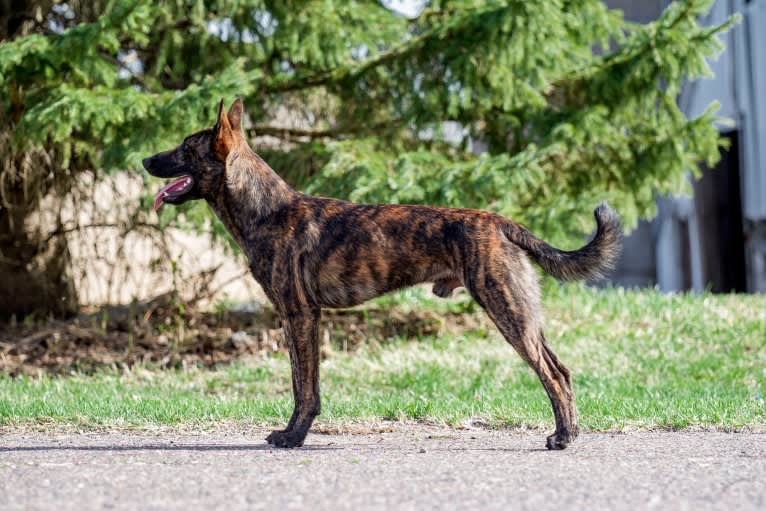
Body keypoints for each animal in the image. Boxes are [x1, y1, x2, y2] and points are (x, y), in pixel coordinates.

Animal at [142, 98, 624, 450]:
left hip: (507, 310)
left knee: (551, 374)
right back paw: (570, 432)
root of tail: (500, 222)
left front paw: (294, 437)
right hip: (522, 311)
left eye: (185, 148)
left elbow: (305, 388)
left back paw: (563, 438)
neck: (268, 209)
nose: (145, 159)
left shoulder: (301, 315)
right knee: (562, 370)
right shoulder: (297, 318)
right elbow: (302, 383)